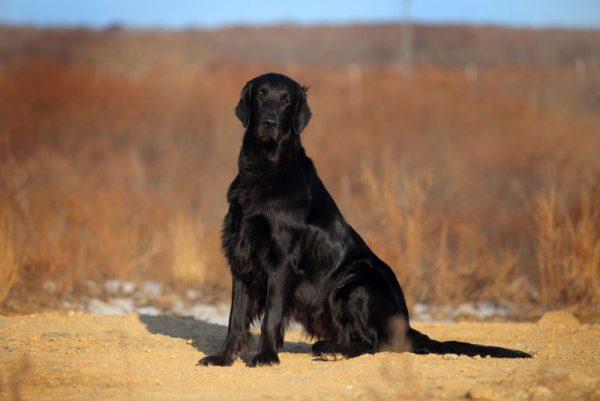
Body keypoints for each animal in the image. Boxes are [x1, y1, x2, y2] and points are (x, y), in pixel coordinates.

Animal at [198, 72, 528, 366]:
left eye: (286, 100)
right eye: (261, 95)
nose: (269, 122)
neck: (264, 172)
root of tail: (407, 325)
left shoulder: (281, 261)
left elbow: (271, 315)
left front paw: (266, 357)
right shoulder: (241, 258)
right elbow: (235, 316)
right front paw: (223, 357)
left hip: (356, 284)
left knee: (373, 343)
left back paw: (332, 350)